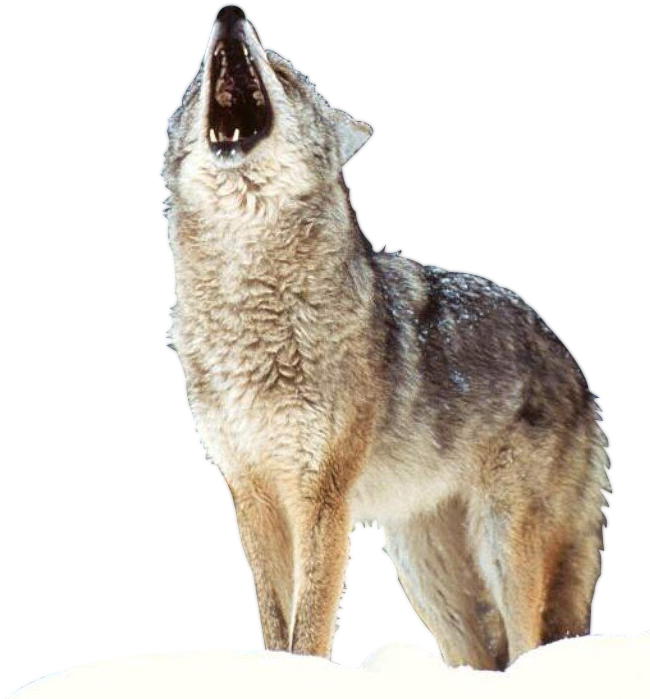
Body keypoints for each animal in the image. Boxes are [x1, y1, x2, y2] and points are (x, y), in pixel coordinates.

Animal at [159, 3, 614, 670]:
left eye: (283, 73)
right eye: (195, 81)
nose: (231, 12)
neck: (250, 313)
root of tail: (574, 363)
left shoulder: (321, 496)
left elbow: (309, 630)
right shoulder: (251, 494)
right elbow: (274, 625)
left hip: (503, 545)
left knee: (529, 641)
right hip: (424, 574)